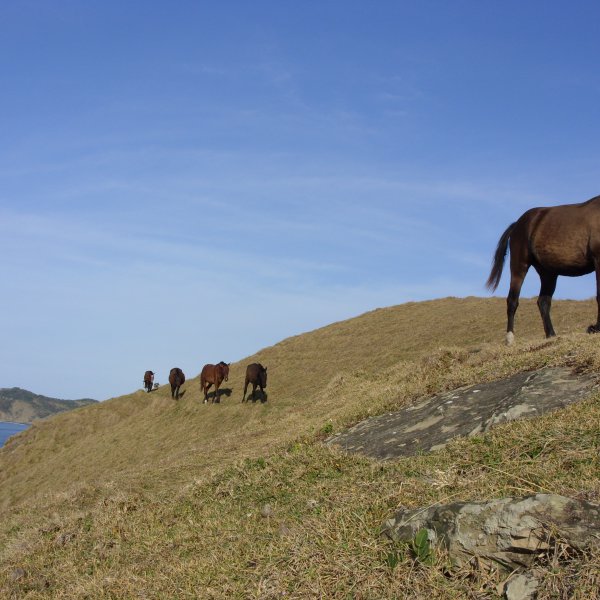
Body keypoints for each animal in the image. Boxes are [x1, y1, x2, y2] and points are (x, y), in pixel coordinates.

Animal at [486, 195, 600, 344]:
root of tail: (517, 224)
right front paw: (596, 328)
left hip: (548, 274)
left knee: (543, 302)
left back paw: (551, 334)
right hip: (519, 266)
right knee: (512, 300)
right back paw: (510, 339)